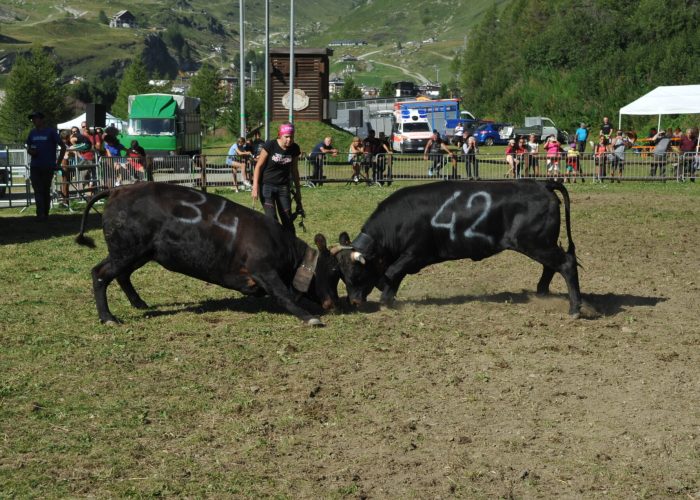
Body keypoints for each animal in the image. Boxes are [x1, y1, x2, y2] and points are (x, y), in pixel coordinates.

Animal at [76, 182, 340, 326]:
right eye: (332, 272)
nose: (335, 304)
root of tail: (118, 191)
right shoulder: (263, 269)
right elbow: (283, 295)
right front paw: (309, 317)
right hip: (127, 251)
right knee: (100, 273)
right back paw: (108, 317)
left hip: (138, 253)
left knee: (121, 275)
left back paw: (139, 303)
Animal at [332, 180, 580, 316]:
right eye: (342, 276)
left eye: (356, 275)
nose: (354, 302)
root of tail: (541, 184)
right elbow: (394, 276)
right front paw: (389, 297)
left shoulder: (415, 253)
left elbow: (392, 272)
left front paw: (385, 300)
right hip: (542, 243)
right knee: (551, 267)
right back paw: (542, 293)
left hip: (535, 242)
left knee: (566, 264)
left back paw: (575, 309)